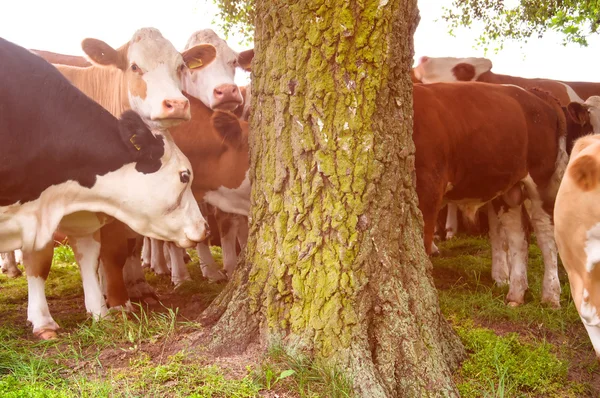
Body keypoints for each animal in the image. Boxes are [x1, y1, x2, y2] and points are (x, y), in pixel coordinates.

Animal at [0, 37, 210, 338]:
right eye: (184, 176)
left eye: (181, 66)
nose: (205, 227)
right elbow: (40, 260)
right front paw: (43, 322)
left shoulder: (78, 213)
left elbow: (91, 256)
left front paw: (101, 311)